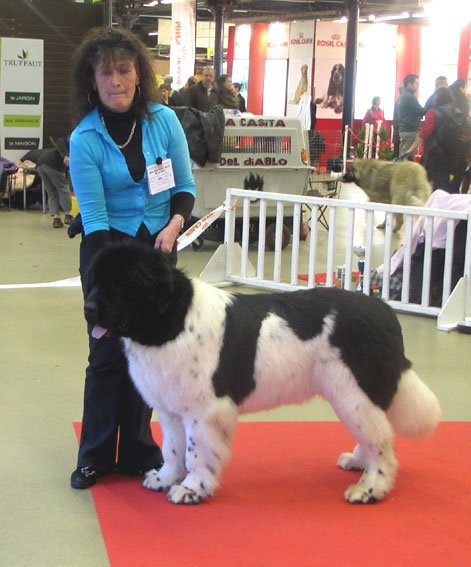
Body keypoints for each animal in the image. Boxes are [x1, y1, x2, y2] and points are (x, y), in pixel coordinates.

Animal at [85, 243, 442, 506]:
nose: (88, 309)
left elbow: (197, 452)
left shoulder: (204, 411)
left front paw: (191, 488)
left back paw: (369, 488)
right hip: (351, 397)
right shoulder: (172, 407)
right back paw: (357, 462)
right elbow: (172, 449)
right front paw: (164, 478)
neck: (171, 318)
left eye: (119, 284)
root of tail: (386, 312)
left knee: (381, 443)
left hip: (355, 393)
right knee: (374, 434)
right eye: (95, 281)